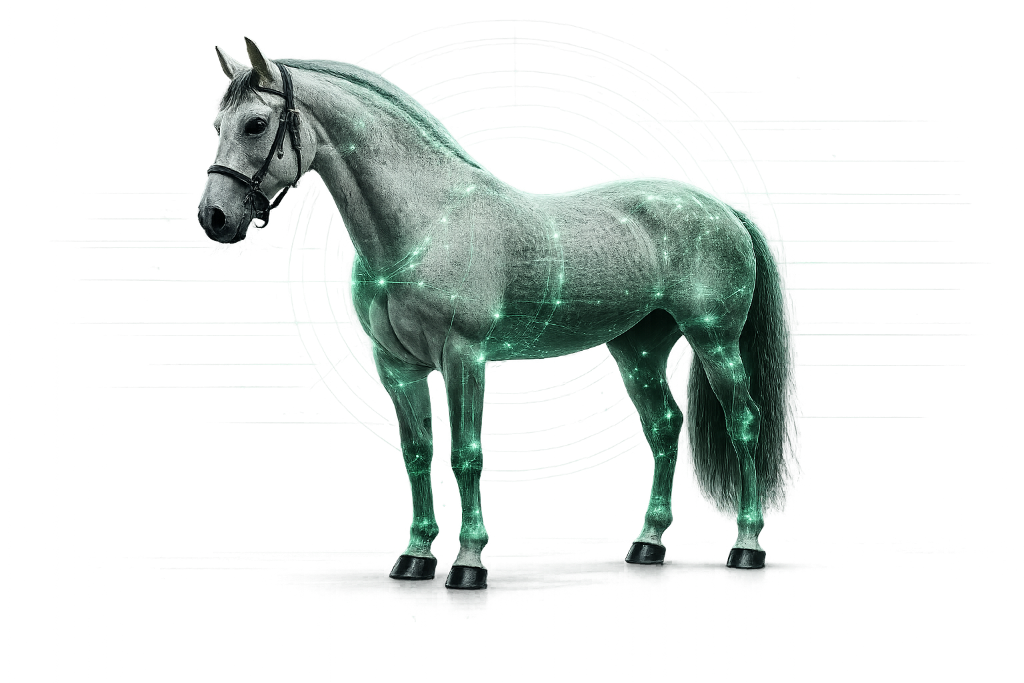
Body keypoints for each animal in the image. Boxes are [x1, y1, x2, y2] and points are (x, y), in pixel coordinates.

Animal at [197, 36, 803, 589]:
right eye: (218, 123)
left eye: (255, 124)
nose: (215, 218)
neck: (426, 222)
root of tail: (720, 206)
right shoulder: (397, 366)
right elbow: (417, 455)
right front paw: (415, 558)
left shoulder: (464, 356)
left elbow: (466, 454)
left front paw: (468, 564)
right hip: (639, 348)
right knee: (664, 426)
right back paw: (648, 545)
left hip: (714, 339)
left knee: (743, 421)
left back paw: (747, 546)